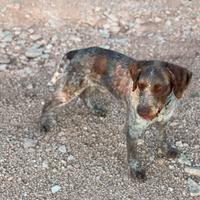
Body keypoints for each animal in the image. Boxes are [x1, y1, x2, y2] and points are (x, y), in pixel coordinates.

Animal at [40, 46, 192, 180]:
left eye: (160, 88)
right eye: (140, 85)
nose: (141, 111)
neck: (163, 107)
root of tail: (78, 51)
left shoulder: (163, 122)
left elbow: (163, 138)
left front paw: (166, 150)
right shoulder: (132, 130)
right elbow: (133, 155)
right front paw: (135, 170)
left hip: (92, 85)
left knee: (84, 95)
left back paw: (95, 110)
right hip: (69, 91)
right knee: (47, 104)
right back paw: (43, 124)